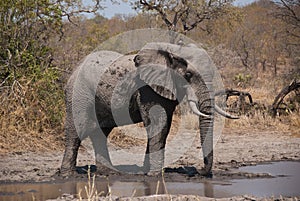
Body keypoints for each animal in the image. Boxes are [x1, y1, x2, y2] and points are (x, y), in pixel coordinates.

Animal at [59, 42, 237, 176]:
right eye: (188, 75)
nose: (198, 171)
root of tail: (75, 69)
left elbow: (164, 127)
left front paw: (146, 172)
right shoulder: (147, 90)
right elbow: (158, 125)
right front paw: (155, 175)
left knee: (101, 132)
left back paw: (109, 173)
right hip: (79, 93)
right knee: (77, 129)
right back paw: (68, 175)